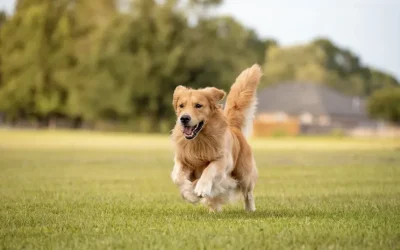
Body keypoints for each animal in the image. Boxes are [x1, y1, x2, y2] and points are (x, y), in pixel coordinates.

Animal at [170, 63, 260, 212]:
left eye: (198, 105)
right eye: (181, 105)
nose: (184, 118)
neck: (199, 140)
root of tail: (234, 128)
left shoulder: (223, 159)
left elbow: (209, 169)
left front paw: (201, 187)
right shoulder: (183, 160)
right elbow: (177, 177)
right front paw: (189, 193)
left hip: (244, 174)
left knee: (248, 193)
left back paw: (250, 209)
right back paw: (213, 210)